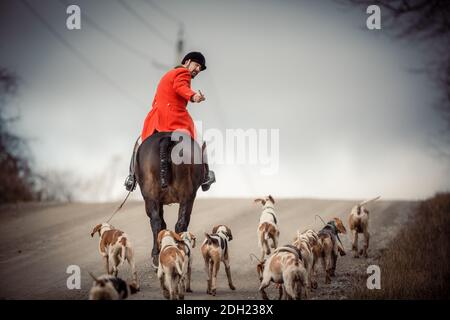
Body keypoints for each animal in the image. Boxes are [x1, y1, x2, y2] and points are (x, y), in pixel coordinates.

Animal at [134, 131, 204, 268]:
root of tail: (167, 139)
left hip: (154, 199)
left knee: (158, 222)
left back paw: (157, 255)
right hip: (186, 197)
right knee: (178, 223)